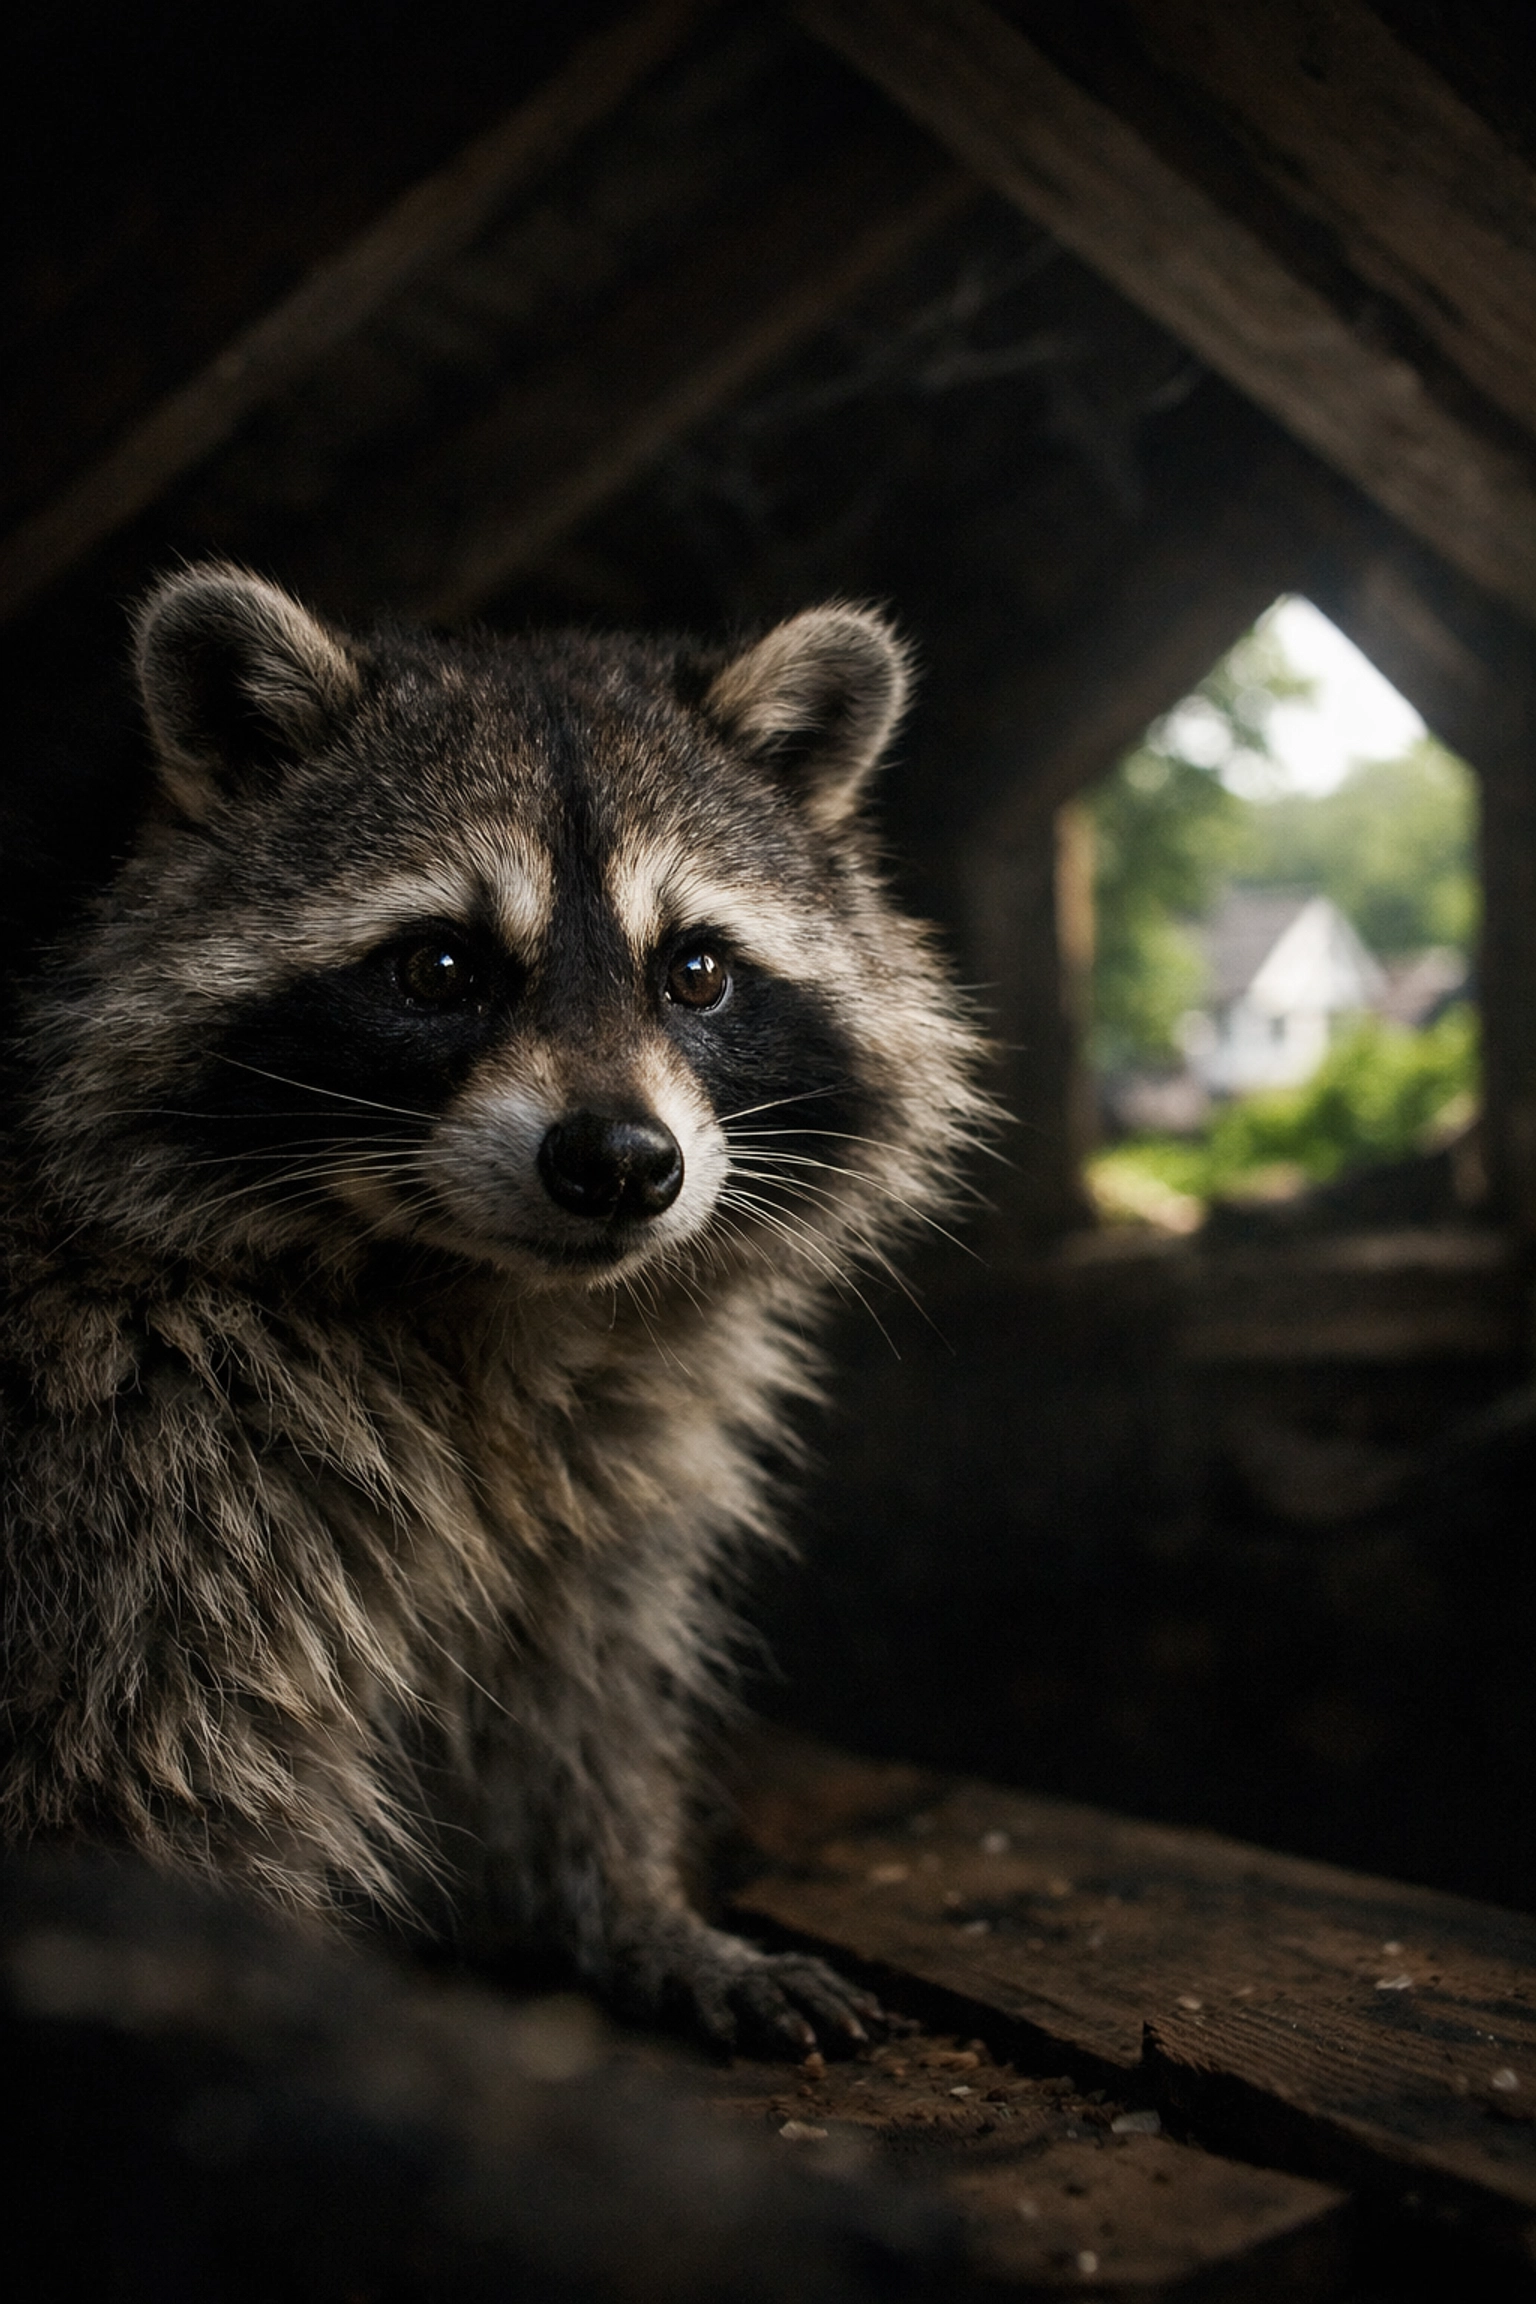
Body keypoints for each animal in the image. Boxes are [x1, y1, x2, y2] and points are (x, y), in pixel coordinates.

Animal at [0, 567, 985, 2050]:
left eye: (697, 971)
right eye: (442, 969)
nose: (621, 1164)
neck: (485, 1298)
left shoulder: (605, 1448)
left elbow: (571, 1672)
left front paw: (622, 1903)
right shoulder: (136, 1447)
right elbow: (146, 1762)